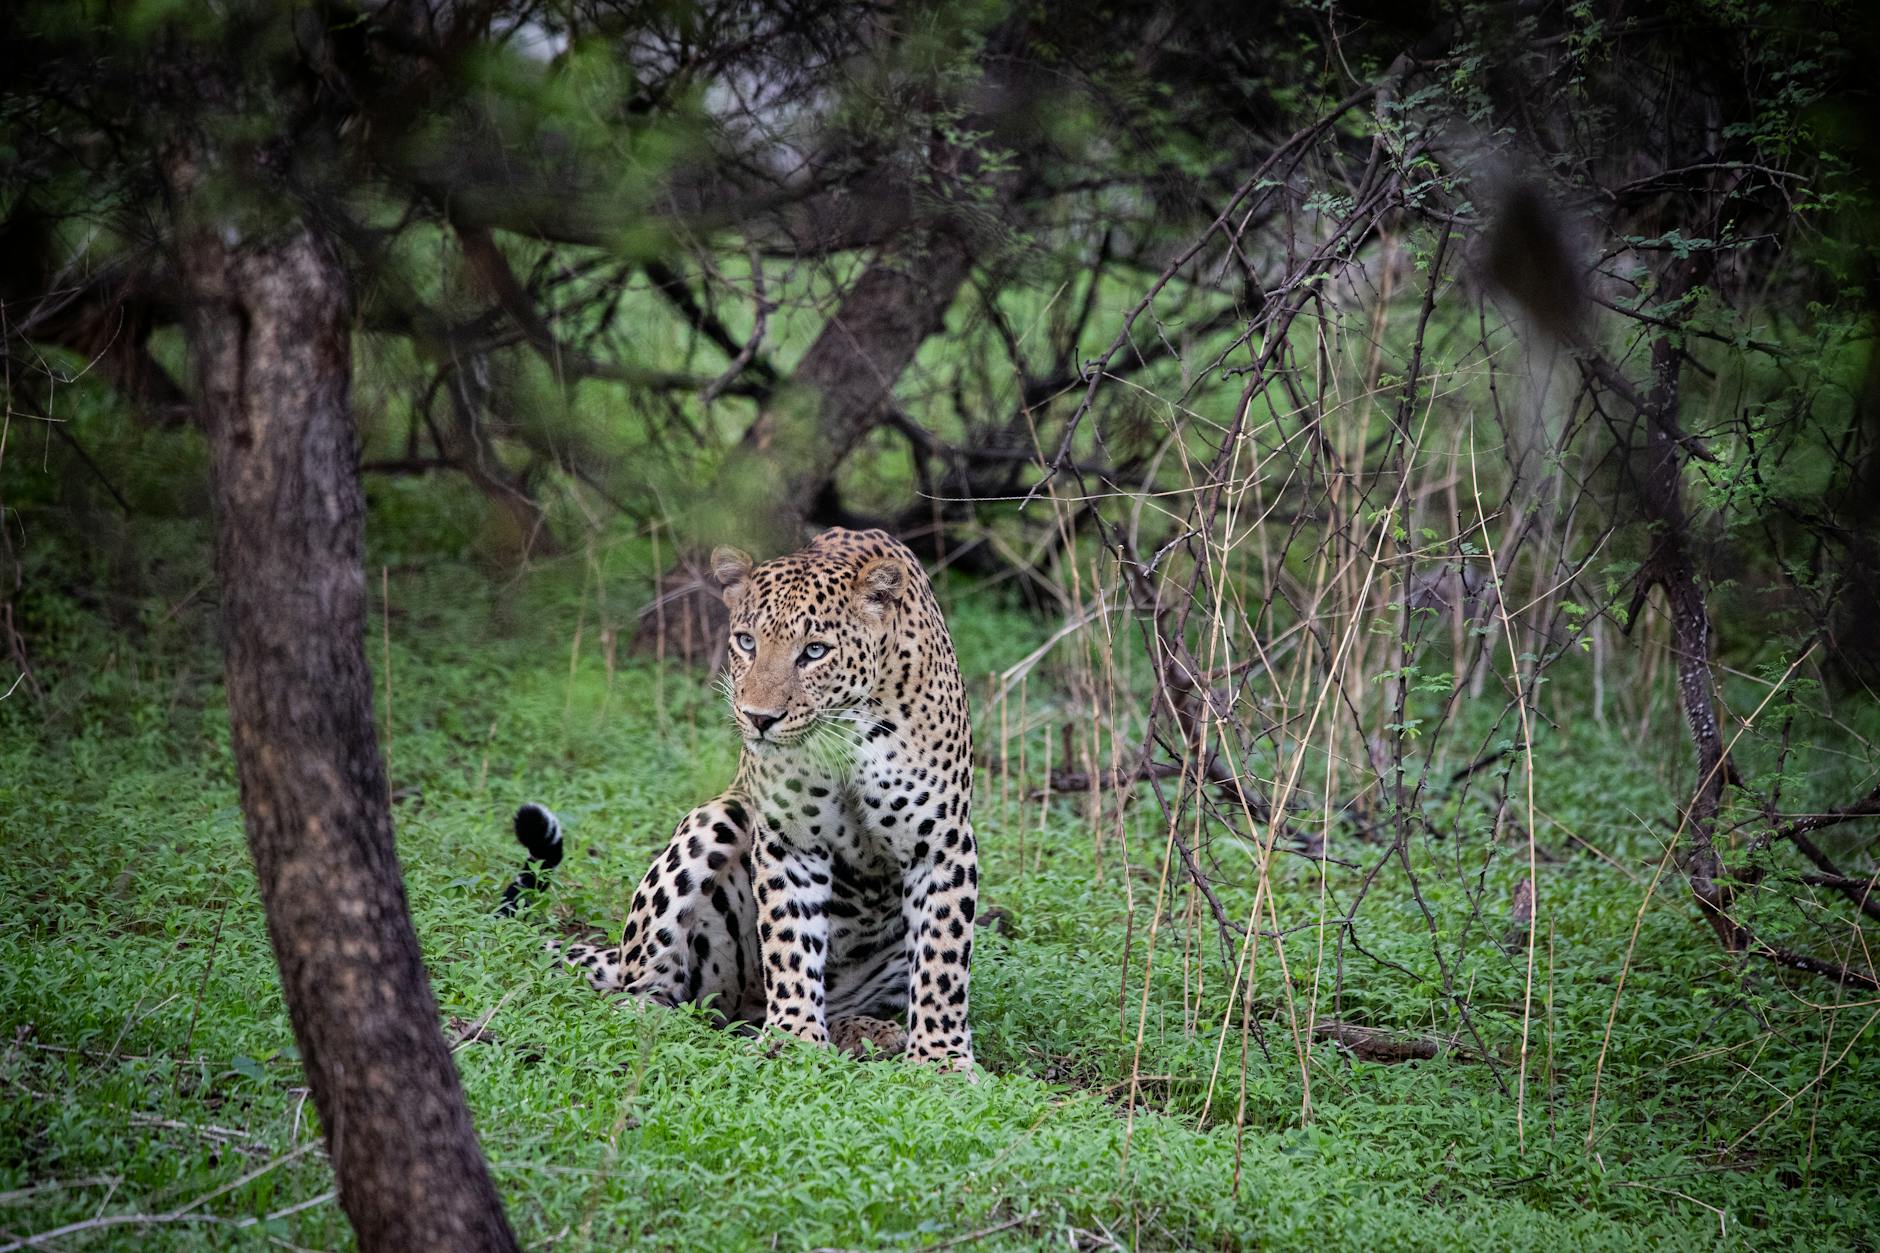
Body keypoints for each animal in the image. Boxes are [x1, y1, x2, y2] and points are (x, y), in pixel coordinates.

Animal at [500, 528, 978, 1071]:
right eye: (747, 642)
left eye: (815, 651)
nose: (759, 718)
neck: (845, 732)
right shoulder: (790, 840)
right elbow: (791, 940)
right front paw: (793, 1038)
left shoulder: (940, 846)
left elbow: (942, 959)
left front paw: (940, 1058)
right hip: (714, 824)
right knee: (650, 988)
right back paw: (663, 1018)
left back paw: (869, 1031)